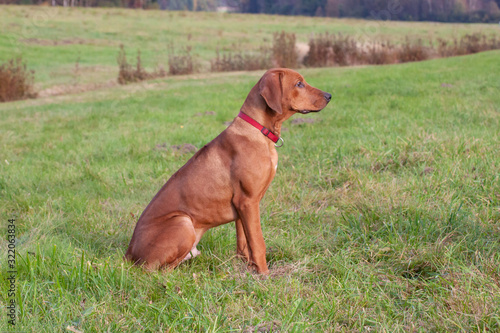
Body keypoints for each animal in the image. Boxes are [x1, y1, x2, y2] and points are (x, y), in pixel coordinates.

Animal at [124, 67, 332, 272]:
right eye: (299, 84)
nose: (329, 95)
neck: (258, 130)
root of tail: (128, 253)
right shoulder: (248, 201)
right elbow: (258, 242)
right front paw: (264, 275)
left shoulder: (241, 205)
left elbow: (244, 243)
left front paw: (248, 268)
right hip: (183, 222)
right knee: (159, 271)